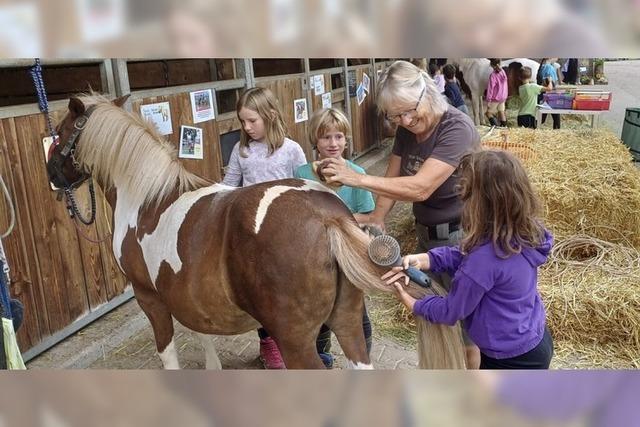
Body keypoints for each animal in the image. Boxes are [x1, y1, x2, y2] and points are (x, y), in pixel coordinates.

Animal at [46, 95, 464, 370]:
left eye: (61, 132)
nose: (51, 175)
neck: (148, 198)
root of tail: (326, 216)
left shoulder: (150, 298)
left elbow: (168, 352)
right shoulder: (185, 296)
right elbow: (202, 333)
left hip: (298, 341)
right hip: (346, 321)